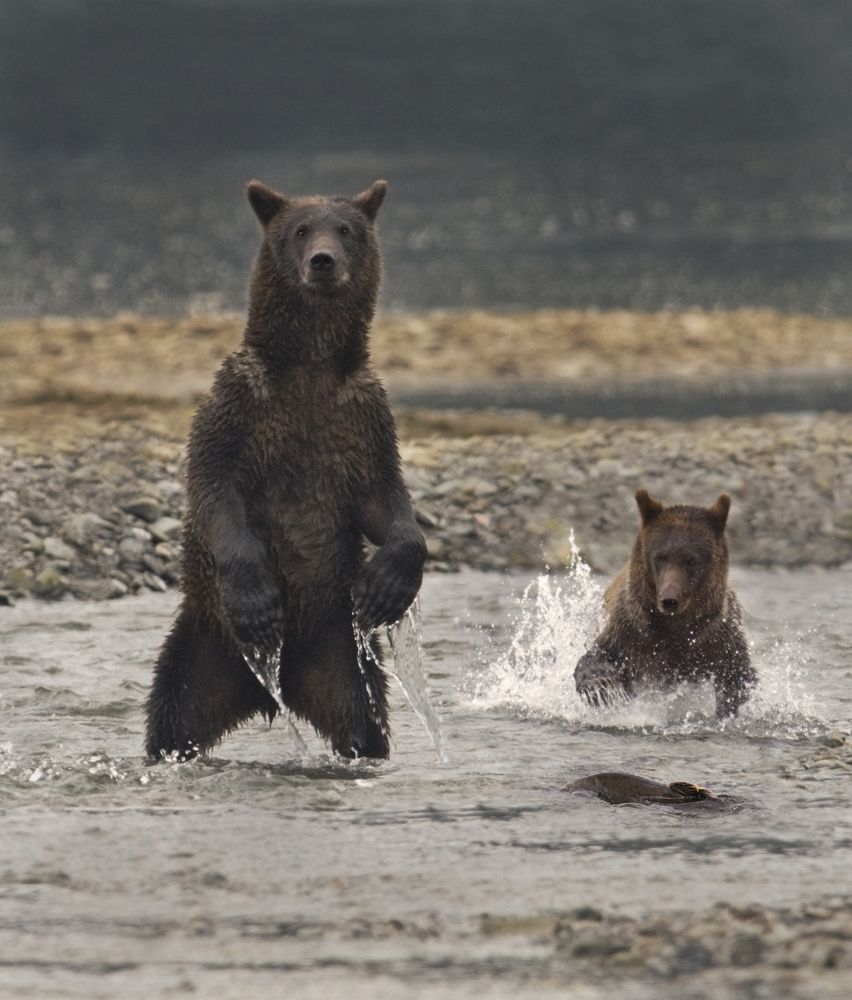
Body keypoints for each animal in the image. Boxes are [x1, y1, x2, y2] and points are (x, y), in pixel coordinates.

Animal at [145, 178, 427, 762]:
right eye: (299, 230)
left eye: (344, 229)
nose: (323, 260)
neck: (309, 366)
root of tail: (272, 691)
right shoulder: (242, 406)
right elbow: (214, 487)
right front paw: (257, 600)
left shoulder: (360, 416)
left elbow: (385, 497)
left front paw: (387, 584)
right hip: (203, 640)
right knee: (173, 715)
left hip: (338, 652)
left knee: (364, 717)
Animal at [574, 489, 755, 718]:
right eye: (660, 556)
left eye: (691, 560)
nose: (669, 600)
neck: (672, 627)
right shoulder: (630, 630)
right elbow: (599, 655)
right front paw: (600, 685)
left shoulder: (716, 635)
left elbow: (736, 674)